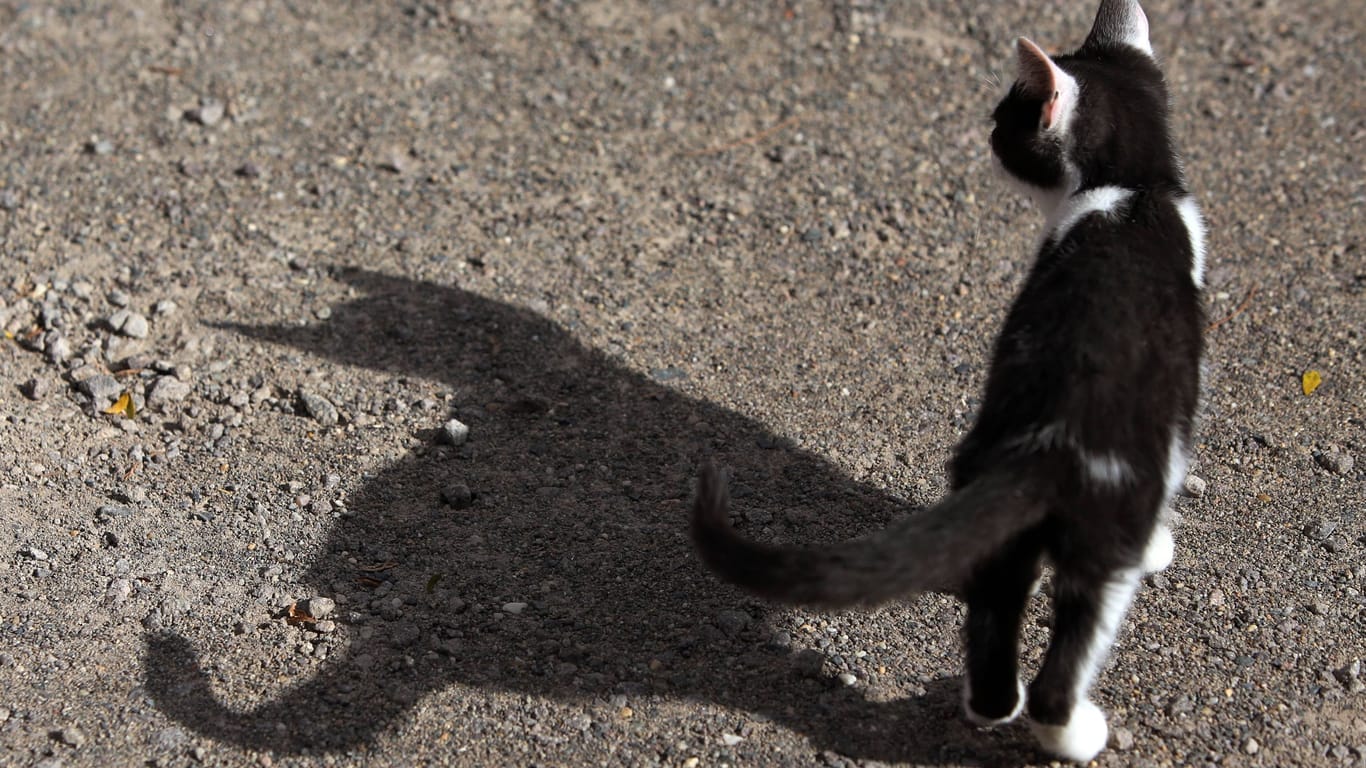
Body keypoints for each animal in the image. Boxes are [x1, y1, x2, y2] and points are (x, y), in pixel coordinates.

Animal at [693, 0, 1207, 759]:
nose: (987, 134)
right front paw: (1162, 545)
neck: (1128, 188)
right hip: (1107, 523)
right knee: (1070, 649)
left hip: (1000, 501)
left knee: (995, 610)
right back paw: (1073, 731)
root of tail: (1043, 446)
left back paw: (986, 703)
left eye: (1004, 120)